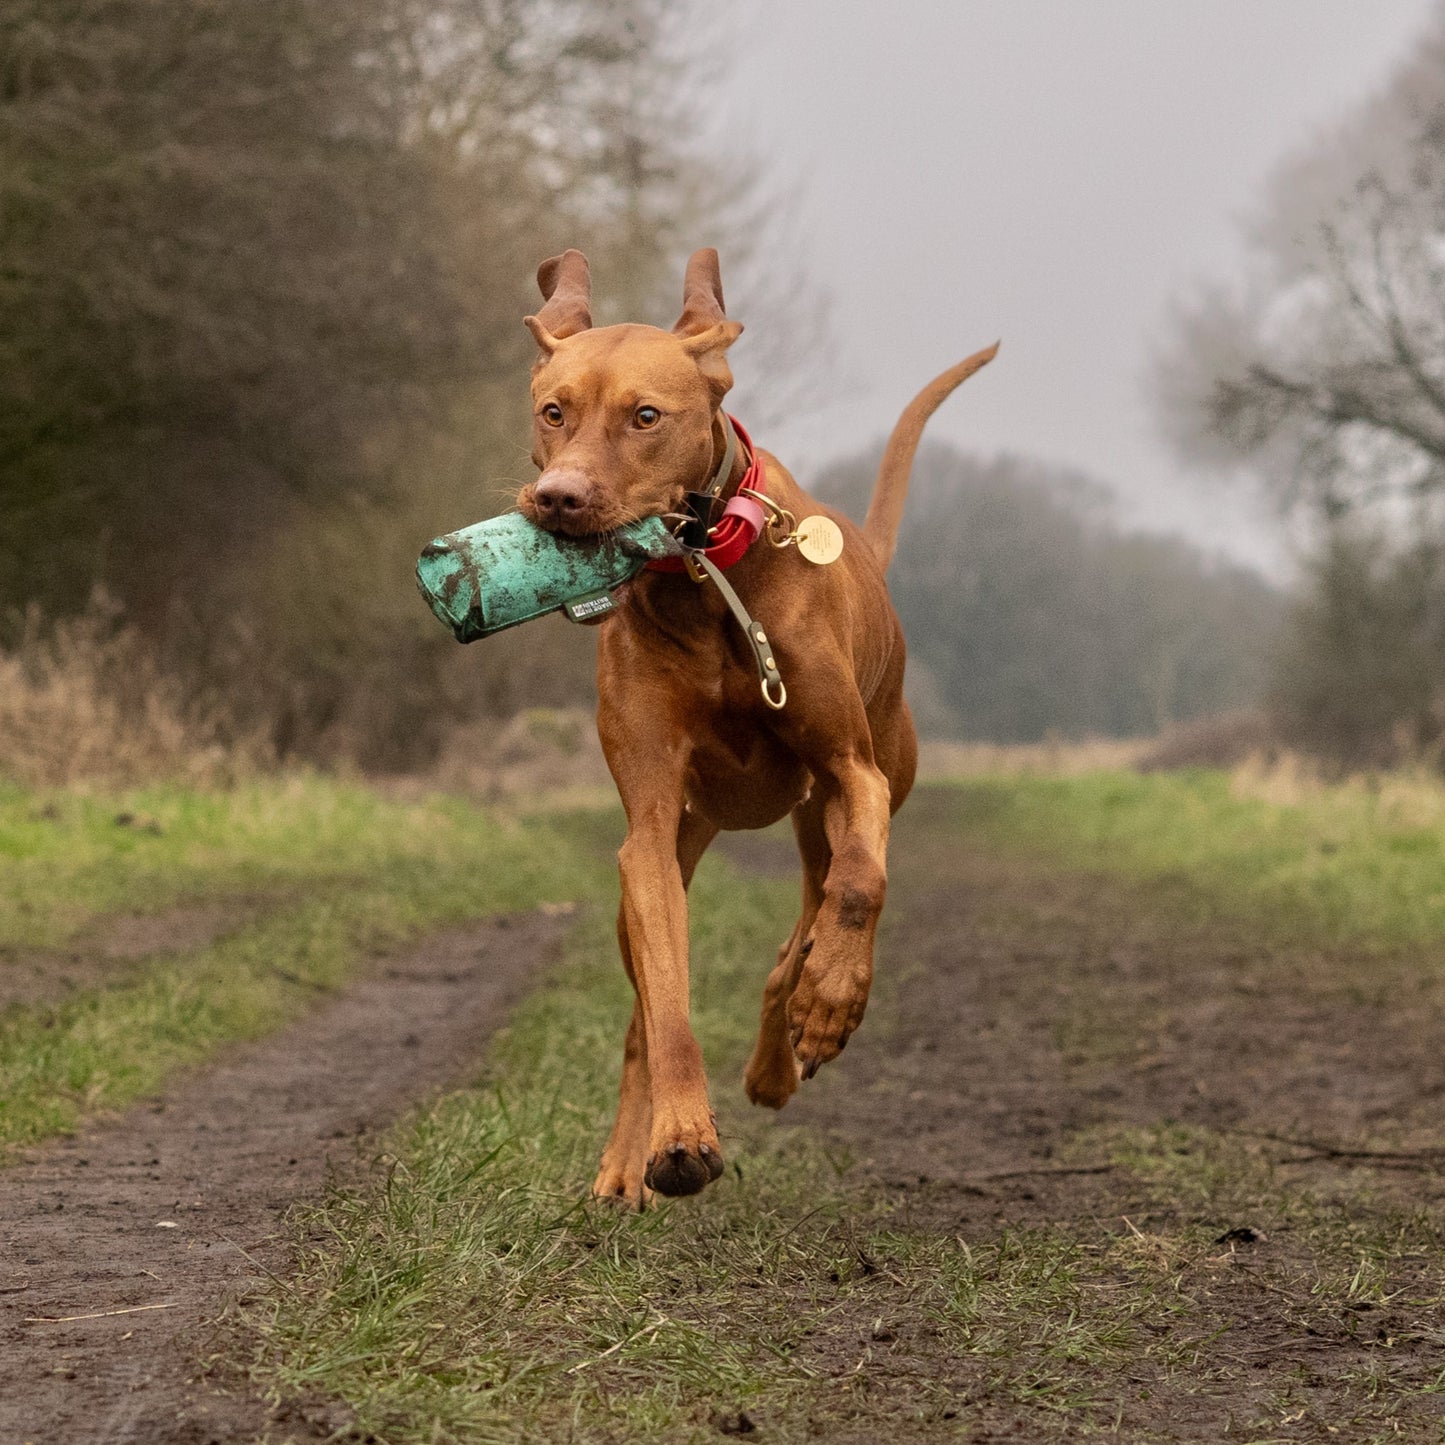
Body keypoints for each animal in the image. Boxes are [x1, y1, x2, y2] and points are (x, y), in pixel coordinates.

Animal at [517, 248, 994, 1208]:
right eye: (554, 411)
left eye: (646, 416)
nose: (557, 498)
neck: (705, 581)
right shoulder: (649, 832)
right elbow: (665, 1005)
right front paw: (678, 1137)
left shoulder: (852, 772)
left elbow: (861, 888)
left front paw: (833, 1000)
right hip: (684, 841)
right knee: (644, 1013)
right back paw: (626, 1163)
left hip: (829, 812)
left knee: (806, 924)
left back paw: (793, 1037)